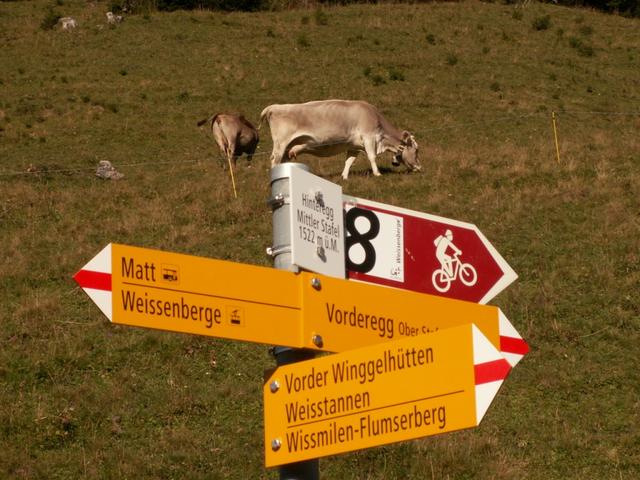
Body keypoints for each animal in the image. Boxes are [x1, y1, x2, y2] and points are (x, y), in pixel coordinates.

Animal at [258, 99, 422, 178]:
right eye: (416, 149)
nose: (420, 167)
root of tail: (274, 107)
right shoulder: (368, 137)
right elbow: (372, 157)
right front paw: (377, 173)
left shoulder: (354, 146)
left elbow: (349, 161)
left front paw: (344, 177)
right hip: (280, 144)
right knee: (275, 160)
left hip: (287, 147)